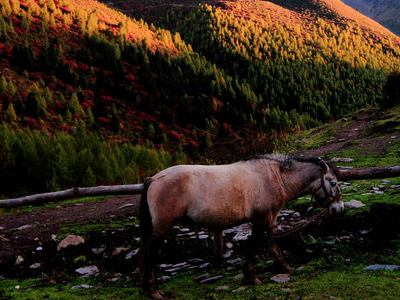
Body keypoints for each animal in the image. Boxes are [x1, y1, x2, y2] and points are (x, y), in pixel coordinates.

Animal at [138, 156, 344, 298]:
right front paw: (251, 276)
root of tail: (153, 179)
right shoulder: (260, 219)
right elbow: (254, 245)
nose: (340, 208)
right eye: (333, 183)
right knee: (151, 252)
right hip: (162, 228)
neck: (275, 177)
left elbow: (273, 242)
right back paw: (153, 290)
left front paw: (283, 266)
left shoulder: (272, 218)